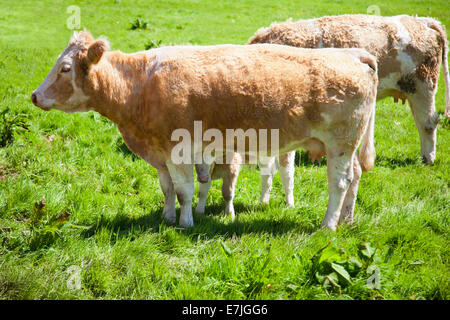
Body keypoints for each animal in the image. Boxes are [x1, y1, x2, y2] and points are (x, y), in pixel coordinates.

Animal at [29, 30, 378, 230]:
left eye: (65, 68)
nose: (34, 95)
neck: (141, 86)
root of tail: (355, 53)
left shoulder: (178, 149)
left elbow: (185, 190)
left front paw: (185, 222)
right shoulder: (160, 153)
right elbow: (168, 189)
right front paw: (168, 217)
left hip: (340, 143)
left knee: (340, 182)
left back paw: (328, 226)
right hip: (346, 147)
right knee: (356, 177)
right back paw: (346, 220)